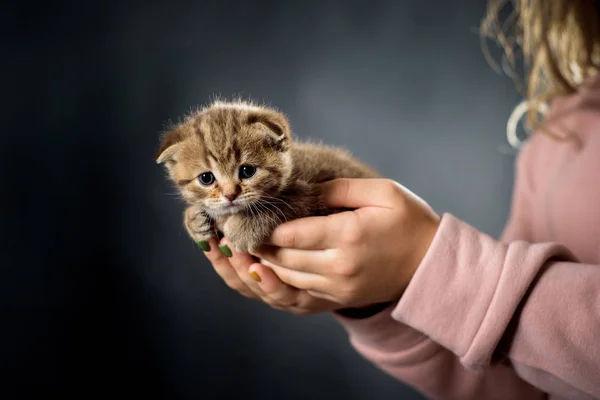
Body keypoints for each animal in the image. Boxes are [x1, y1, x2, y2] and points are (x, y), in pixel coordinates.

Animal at [156, 101, 380, 255]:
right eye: (206, 178)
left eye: (247, 171)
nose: (230, 195)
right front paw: (194, 219)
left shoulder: (314, 196)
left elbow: (284, 203)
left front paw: (243, 228)